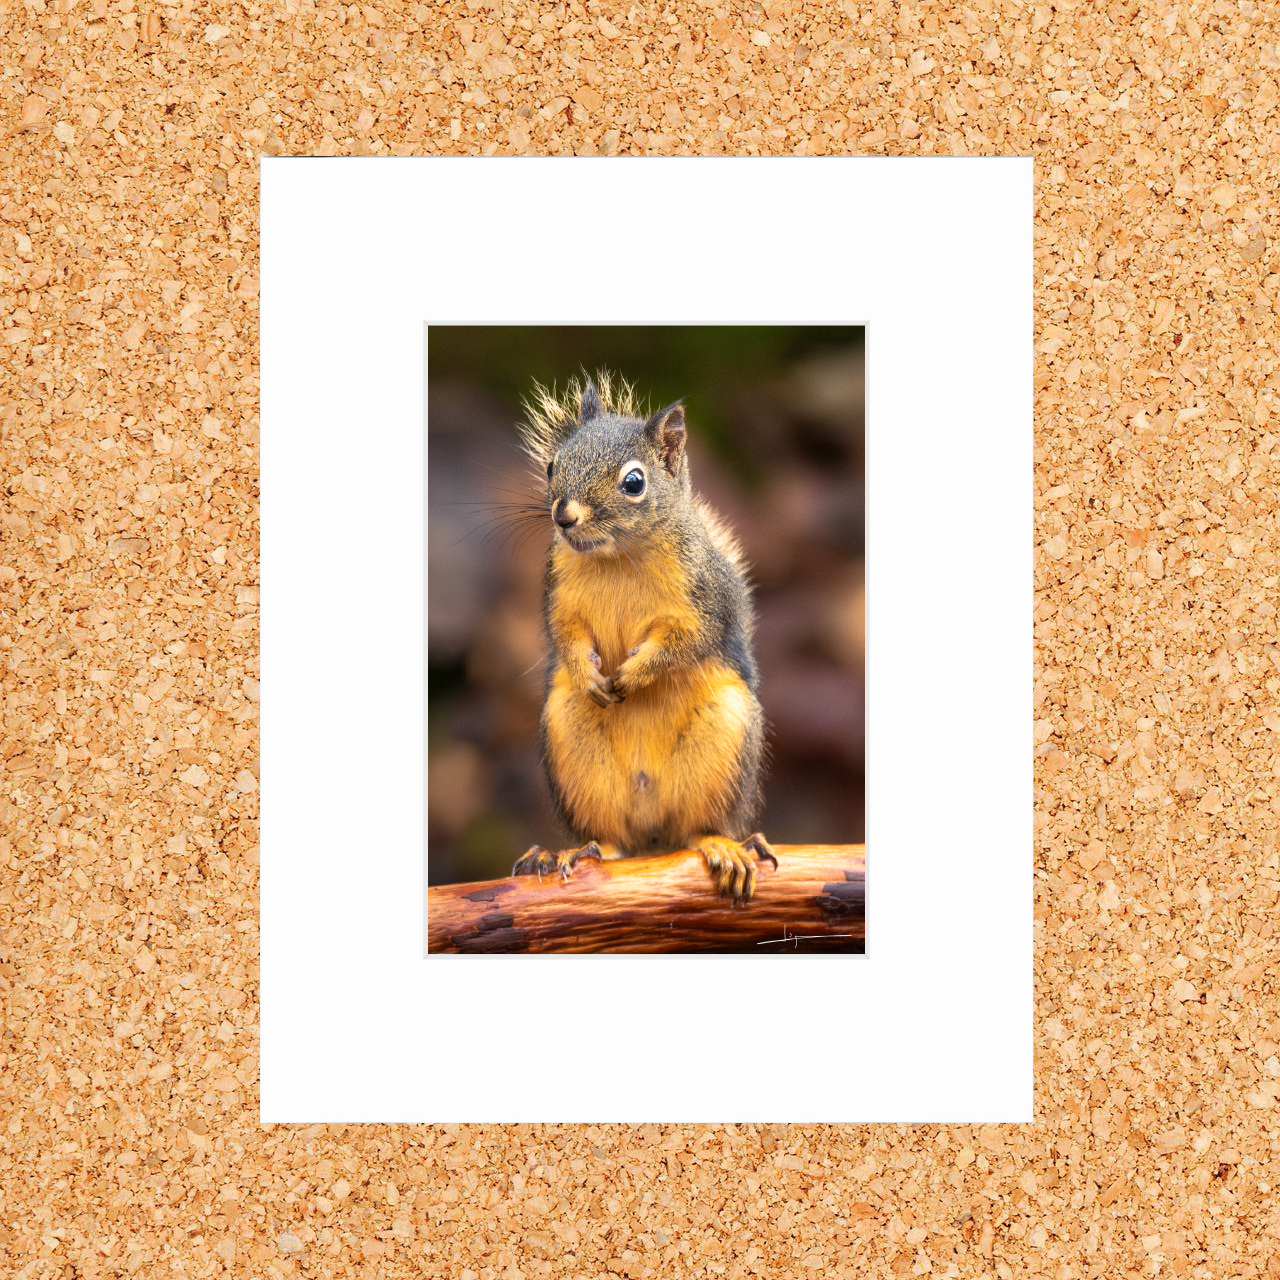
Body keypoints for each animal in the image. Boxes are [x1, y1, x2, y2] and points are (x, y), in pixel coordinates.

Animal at [510, 371, 776, 902]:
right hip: (572, 741)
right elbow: (565, 636)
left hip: (725, 738)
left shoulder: (703, 599)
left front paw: (635, 674)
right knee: (610, 838)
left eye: (634, 482)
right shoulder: (558, 594)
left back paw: (723, 847)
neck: (617, 556)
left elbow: (685, 642)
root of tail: (653, 837)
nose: (563, 516)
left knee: (698, 829)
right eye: (552, 465)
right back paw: (574, 851)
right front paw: (590, 674)